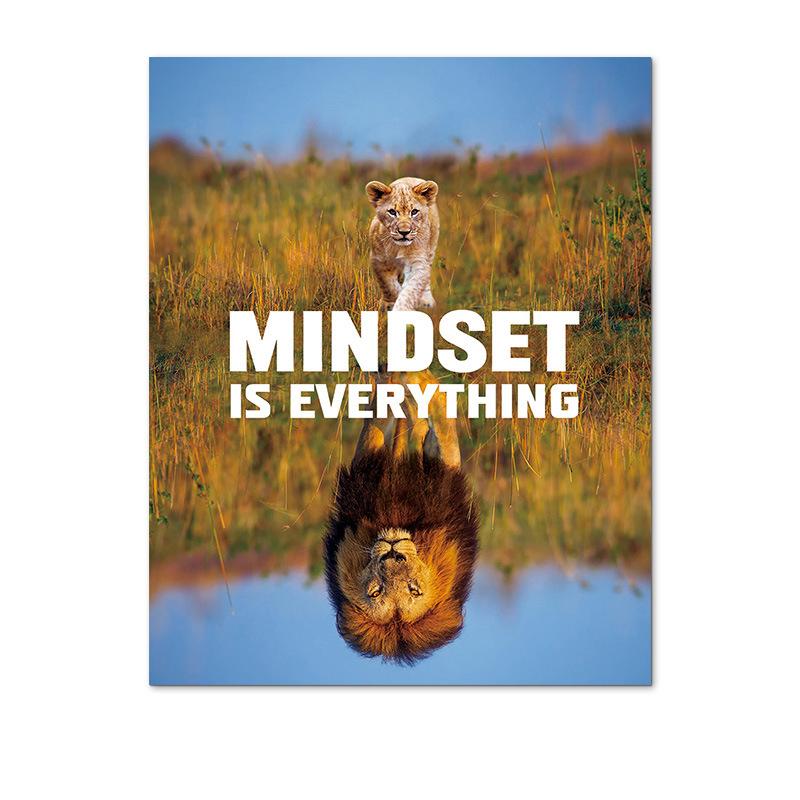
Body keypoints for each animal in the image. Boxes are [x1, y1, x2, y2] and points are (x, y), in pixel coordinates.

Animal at [323, 371, 479, 665]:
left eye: (414, 590)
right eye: (376, 592)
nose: (393, 554)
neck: (395, 517)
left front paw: (414, 382)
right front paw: (414, 383)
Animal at [365, 177, 440, 312]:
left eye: (414, 212)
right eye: (392, 212)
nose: (404, 232)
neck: (398, 247)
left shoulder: (418, 263)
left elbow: (411, 290)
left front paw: (403, 309)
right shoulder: (378, 261)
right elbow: (389, 286)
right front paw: (390, 302)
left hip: (431, 248)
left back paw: (426, 301)